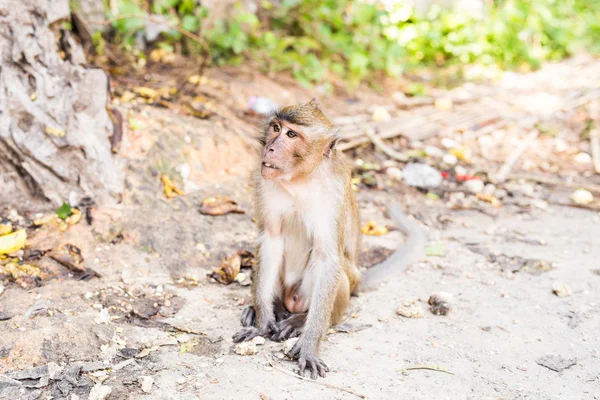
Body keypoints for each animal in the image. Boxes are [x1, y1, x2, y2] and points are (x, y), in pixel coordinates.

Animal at [232, 99, 424, 378]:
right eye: (276, 128)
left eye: (291, 135)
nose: (270, 147)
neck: (300, 179)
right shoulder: (263, 179)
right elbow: (271, 241)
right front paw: (263, 322)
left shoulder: (333, 193)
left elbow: (328, 257)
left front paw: (310, 344)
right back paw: (268, 309)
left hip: (337, 287)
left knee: (336, 275)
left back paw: (299, 320)